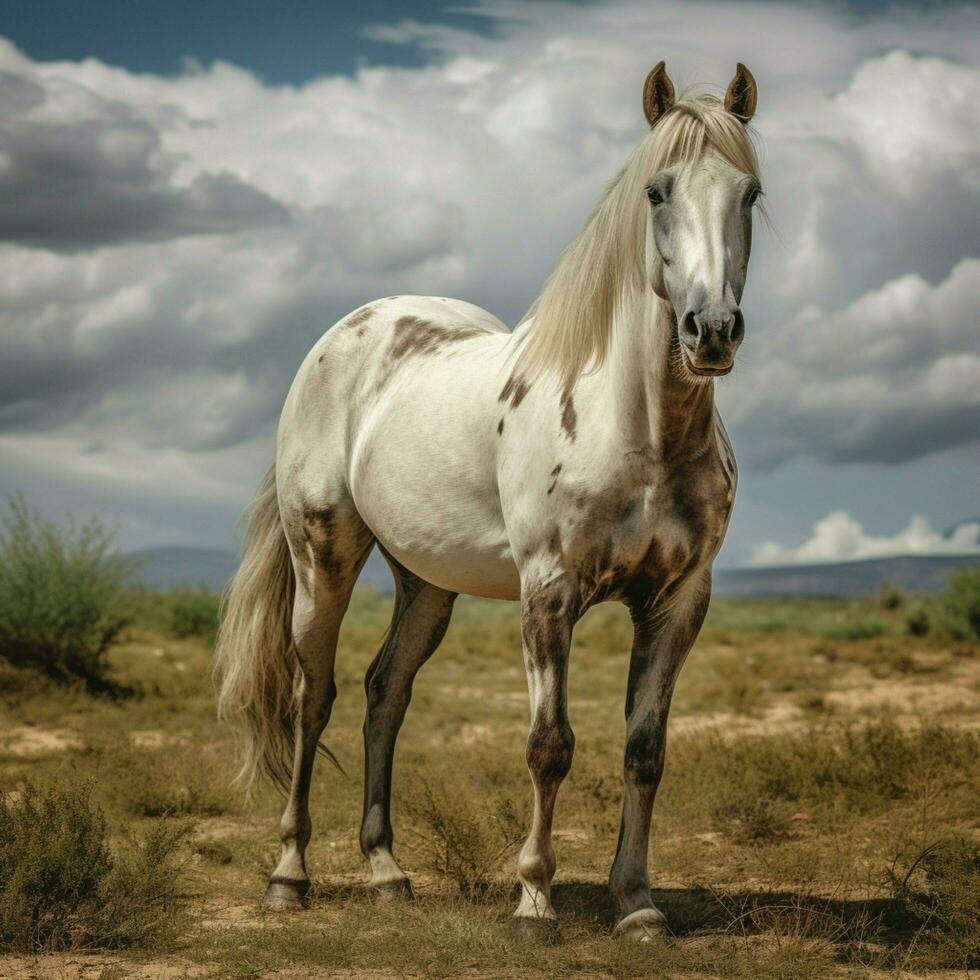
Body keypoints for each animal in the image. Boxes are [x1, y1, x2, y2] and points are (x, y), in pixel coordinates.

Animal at [214, 59, 764, 940]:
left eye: (750, 193)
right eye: (657, 191)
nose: (710, 331)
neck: (638, 430)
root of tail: (342, 336)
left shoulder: (679, 600)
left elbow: (645, 750)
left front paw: (638, 903)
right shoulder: (549, 593)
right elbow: (549, 745)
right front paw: (534, 901)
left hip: (426, 582)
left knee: (384, 695)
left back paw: (387, 872)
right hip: (322, 559)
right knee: (313, 697)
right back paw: (289, 873)